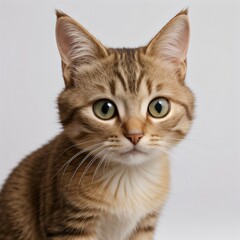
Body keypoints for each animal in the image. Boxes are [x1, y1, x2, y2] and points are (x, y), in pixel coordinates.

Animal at [0, 9, 194, 240]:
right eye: (104, 109)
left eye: (158, 107)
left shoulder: (144, 224)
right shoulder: (70, 224)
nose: (135, 135)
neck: (128, 178)